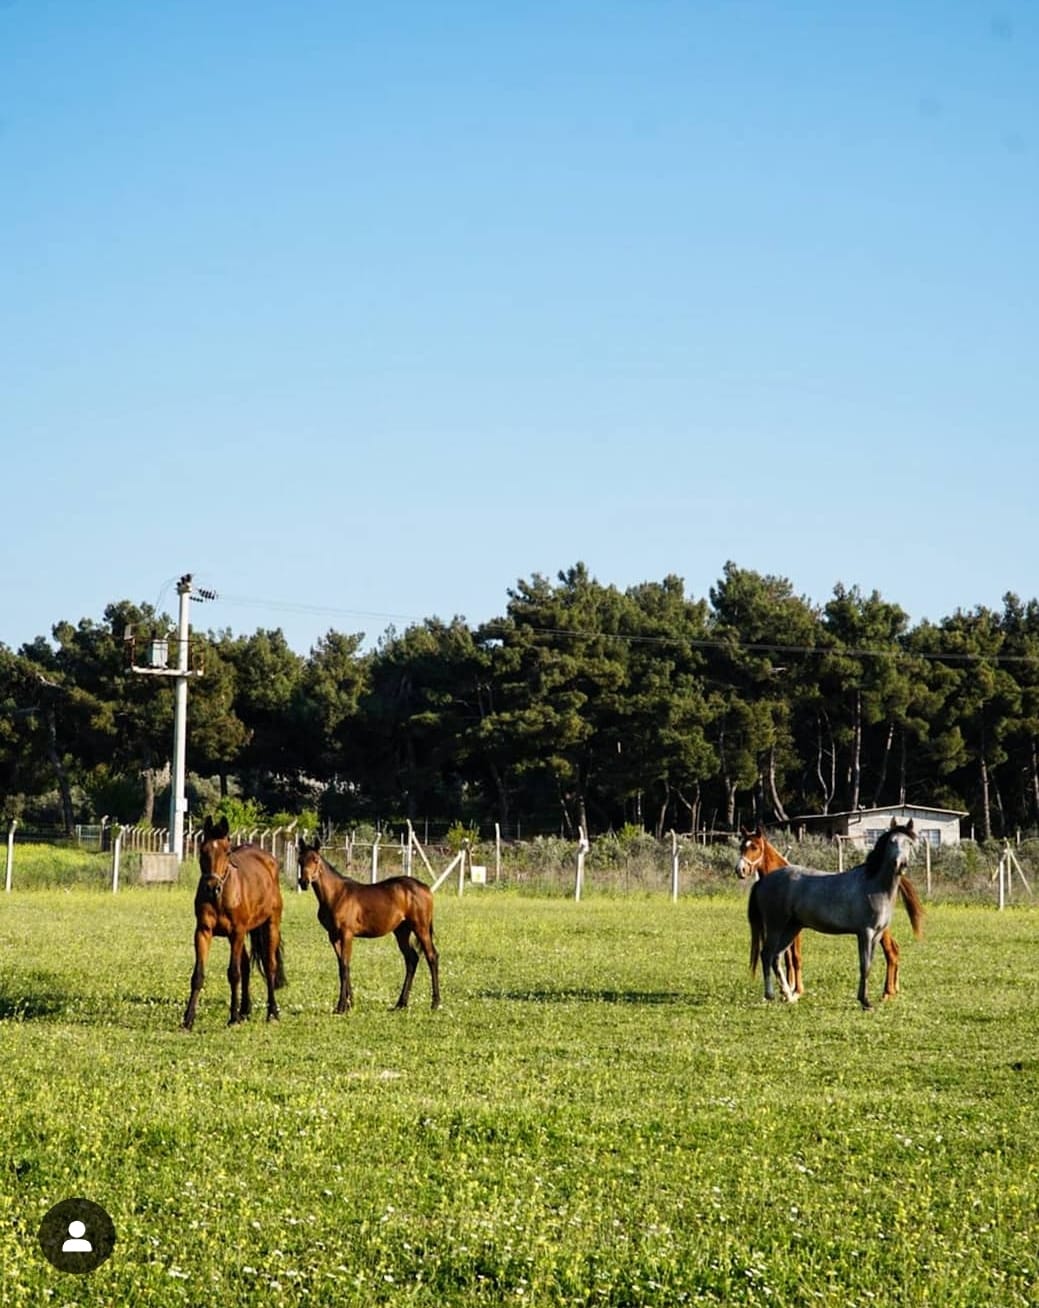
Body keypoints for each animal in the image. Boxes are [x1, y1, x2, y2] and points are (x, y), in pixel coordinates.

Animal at [179, 816, 283, 1030]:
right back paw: (245, 1010)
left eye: (227, 852)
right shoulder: (203, 931)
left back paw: (272, 1013)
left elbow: (233, 973)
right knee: (246, 965)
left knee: (270, 966)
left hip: (270, 925)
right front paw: (188, 1019)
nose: (212, 887)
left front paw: (232, 1018)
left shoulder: (237, 932)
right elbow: (198, 975)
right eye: (203, 850)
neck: (222, 896)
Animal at [743, 816, 915, 1009]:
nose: (901, 864)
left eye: (909, 842)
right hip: (776, 926)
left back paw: (789, 995)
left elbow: (869, 965)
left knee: (776, 957)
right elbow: (864, 966)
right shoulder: (865, 933)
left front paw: (865, 1001)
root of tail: (763, 881)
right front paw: (865, 1001)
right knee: (766, 955)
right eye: (892, 842)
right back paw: (771, 994)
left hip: (791, 929)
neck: (874, 885)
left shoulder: (877, 934)